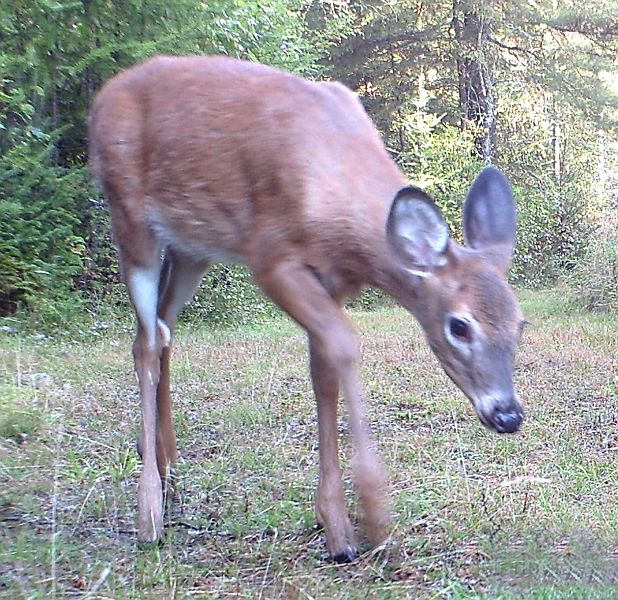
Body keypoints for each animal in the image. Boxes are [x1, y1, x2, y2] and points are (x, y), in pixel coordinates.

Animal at [89, 55, 524, 564]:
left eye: (520, 324)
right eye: (460, 326)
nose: (508, 414)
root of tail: (104, 95)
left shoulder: (332, 280)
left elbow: (324, 376)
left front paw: (334, 523)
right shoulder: (272, 257)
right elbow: (345, 346)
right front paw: (373, 517)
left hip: (193, 247)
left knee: (162, 332)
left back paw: (169, 468)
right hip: (130, 216)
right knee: (144, 342)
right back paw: (150, 511)